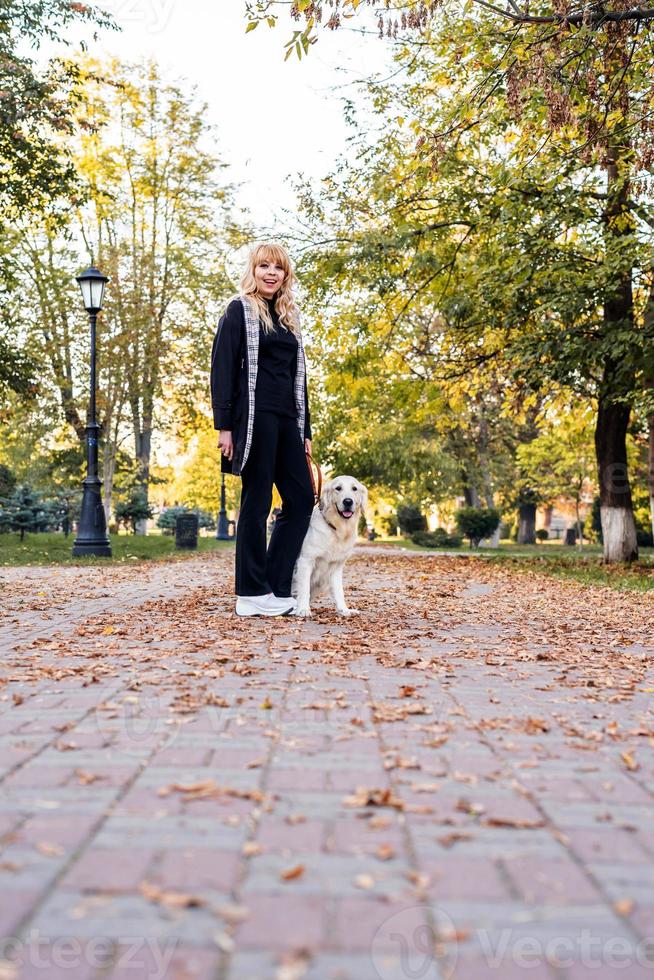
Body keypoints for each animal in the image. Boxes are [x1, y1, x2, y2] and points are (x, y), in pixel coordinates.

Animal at [292, 472, 368, 616]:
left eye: (354, 489)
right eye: (338, 488)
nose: (348, 501)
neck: (336, 529)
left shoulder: (336, 566)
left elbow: (339, 591)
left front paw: (344, 609)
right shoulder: (305, 561)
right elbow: (304, 588)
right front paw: (303, 609)